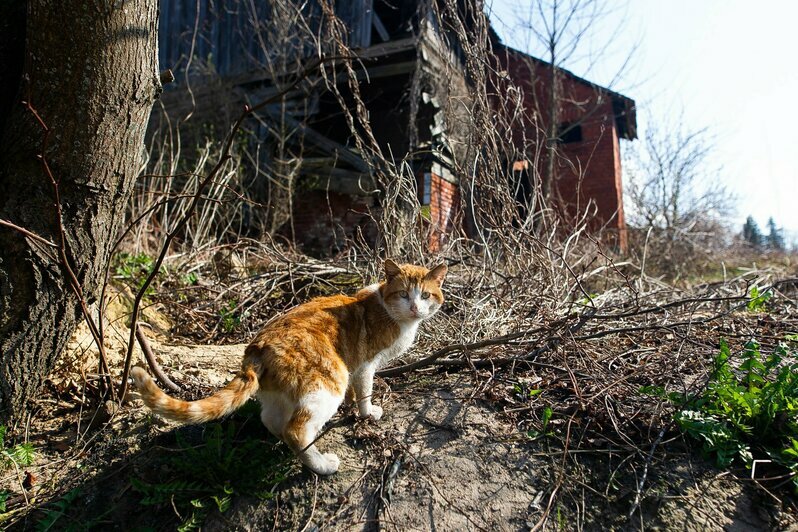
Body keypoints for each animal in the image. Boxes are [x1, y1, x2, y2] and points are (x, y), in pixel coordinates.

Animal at [130, 258, 444, 474]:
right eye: (404, 294)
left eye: (425, 295)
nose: (415, 307)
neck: (389, 311)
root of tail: (257, 346)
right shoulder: (365, 366)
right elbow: (364, 393)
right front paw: (368, 414)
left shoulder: (355, 366)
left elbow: (355, 393)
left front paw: (352, 408)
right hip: (329, 381)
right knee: (296, 429)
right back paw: (321, 464)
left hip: (280, 394)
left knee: (271, 420)